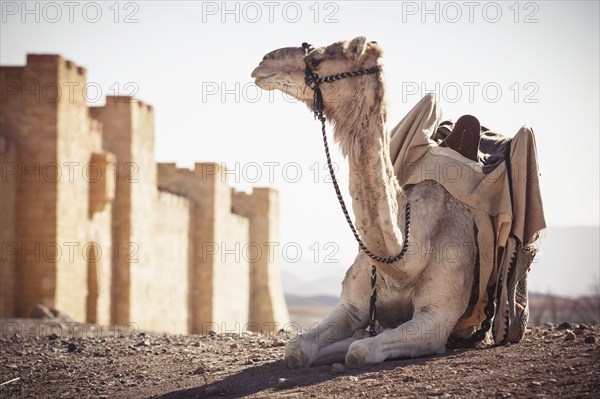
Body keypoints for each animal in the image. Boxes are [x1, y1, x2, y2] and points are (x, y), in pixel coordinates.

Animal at [251, 37, 480, 368]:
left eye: (317, 59)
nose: (263, 62)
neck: (406, 260)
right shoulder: (351, 307)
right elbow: (298, 348)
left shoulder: (436, 318)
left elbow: (359, 351)